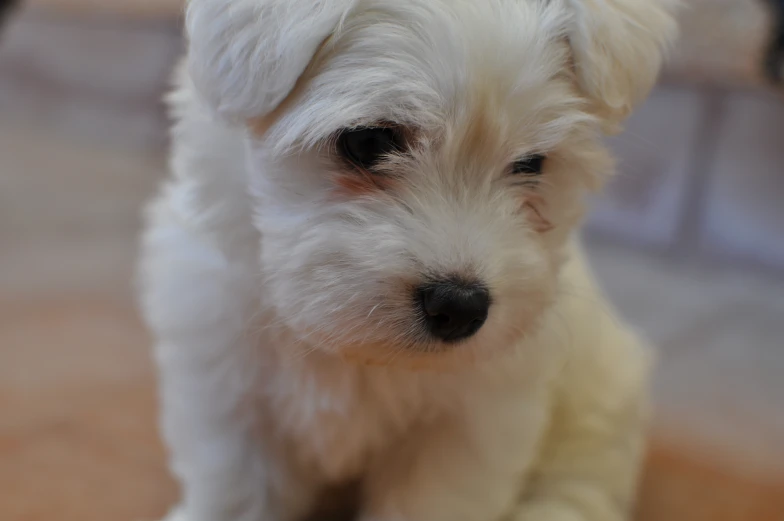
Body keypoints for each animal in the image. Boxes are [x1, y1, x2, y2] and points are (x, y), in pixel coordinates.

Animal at [138, 1, 676, 520]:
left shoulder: (466, 425)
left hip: (604, 391)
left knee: (584, 475)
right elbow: (236, 492)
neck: (354, 351)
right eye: (368, 142)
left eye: (531, 165)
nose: (460, 307)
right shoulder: (229, 387)